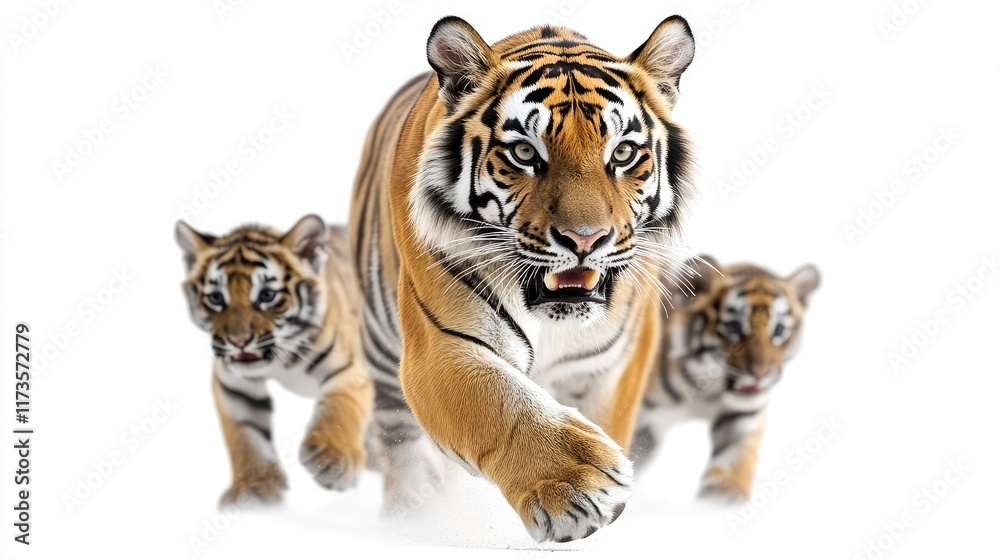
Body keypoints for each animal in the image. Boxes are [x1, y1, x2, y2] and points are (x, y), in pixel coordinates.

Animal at [174, 215, 373, 506]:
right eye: (216, 298)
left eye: (267, 296)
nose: (239, 341)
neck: (281, 359)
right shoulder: (234, 385)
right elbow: (245, 437)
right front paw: (252, 488)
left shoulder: (347, 369)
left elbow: (340, 408)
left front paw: (335, 461)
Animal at [348, 16, 697, 541]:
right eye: (523, 153)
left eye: (622, 153)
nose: (585, 239)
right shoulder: (441, 345)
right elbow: (500, 404)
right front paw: (578, 484)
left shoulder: (620, 361)